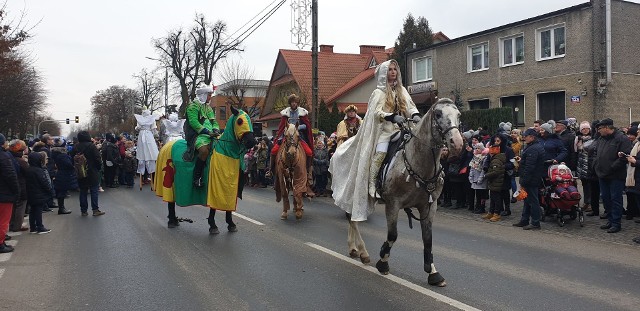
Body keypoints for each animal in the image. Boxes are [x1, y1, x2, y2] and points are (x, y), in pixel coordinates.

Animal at [348, 99, 462, 288]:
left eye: (458, 115)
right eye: (438, 114)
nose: (457, 143)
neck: (419, 165)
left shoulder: (429, 206)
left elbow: (428, 239)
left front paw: (433, 273)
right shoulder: (393, 204)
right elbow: (392, 235)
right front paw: (383, 263)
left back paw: (354, 250)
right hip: (354, 196)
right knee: (353, 220)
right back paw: (362, 251)